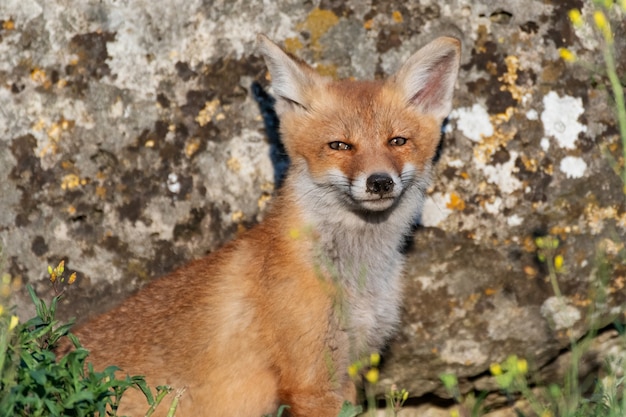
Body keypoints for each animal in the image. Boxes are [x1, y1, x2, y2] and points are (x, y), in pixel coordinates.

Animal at [59, 34, 458, 414]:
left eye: (397, 141)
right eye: (340, 146)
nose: (379, 182)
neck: (357, 279)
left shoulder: (347, 369)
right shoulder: (312, 381)